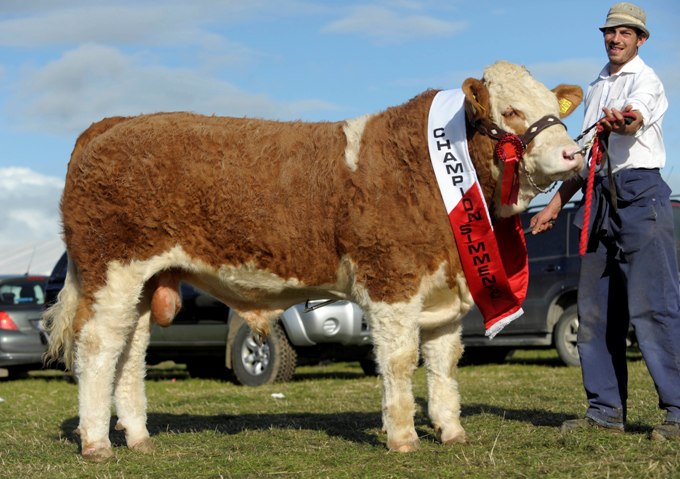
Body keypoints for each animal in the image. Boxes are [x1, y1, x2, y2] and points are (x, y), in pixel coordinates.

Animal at [44, 61, 583, 461]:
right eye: (511, 110)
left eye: (551, 108)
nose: (572, 155)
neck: (433, 167)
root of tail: (113, 124)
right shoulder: (391, 280)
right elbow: (399, 359)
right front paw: (402, 437)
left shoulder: (444, 289)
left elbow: (444, 361)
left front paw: (451, 431)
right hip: (113, 270)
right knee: (98, 348)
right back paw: (96, 443)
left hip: (143, 282)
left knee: (130, 354)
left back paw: (137, 436)